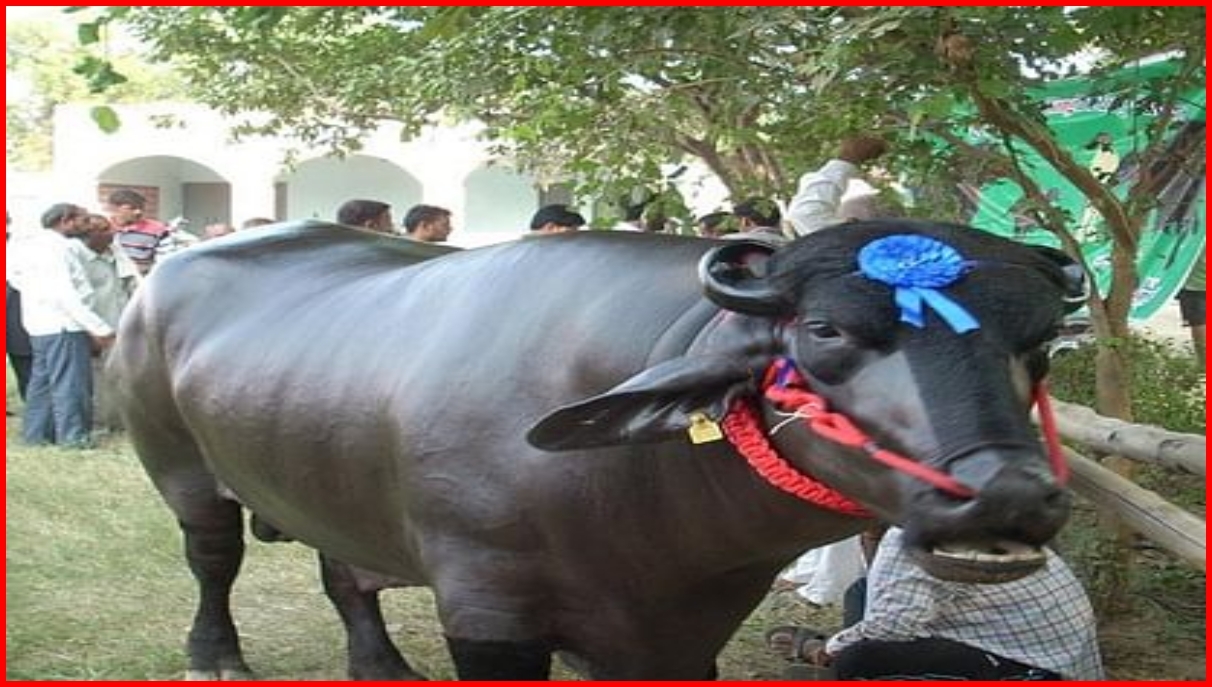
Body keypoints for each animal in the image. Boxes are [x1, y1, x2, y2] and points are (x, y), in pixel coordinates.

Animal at [111, 219, 1081, 678]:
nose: (1006, 489)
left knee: (346, 571)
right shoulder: (489, 611)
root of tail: (157, 281)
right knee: (213, 555)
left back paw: (380, 665)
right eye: (824, 330)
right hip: (179, 467)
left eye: (1038, 344)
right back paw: (216, 653)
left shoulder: (684, 630)